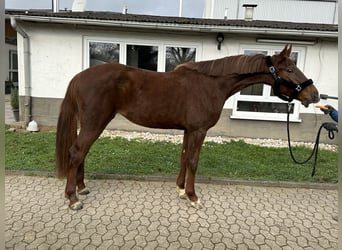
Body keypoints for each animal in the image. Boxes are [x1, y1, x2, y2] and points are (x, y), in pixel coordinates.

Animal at [56, 45, 320, 209]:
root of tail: (79, 77)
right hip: (95, 122)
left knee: (81, 153)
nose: (314, 95)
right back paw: (73, 199)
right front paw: (193, 197)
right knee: (76, 152)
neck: (211, 85)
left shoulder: (188, 130)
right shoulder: (198, 130)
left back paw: (82, 188)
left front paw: (181, 190)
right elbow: (193, 160)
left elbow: (184, 157)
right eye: (290, 69)